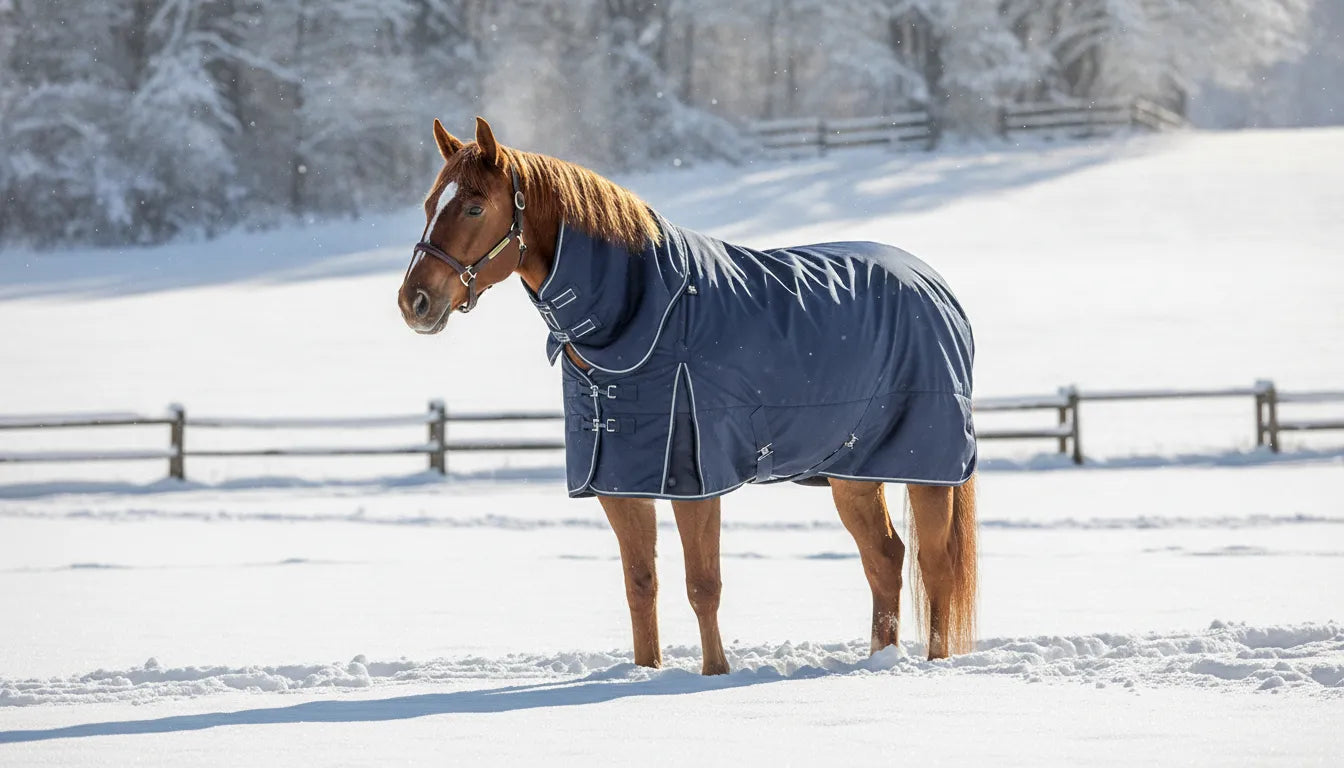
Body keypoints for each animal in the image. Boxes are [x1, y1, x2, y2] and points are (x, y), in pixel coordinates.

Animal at [398, 117, 978, 674]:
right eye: (429, 205)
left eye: (475, 206)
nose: (414, 301)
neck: (646, 315)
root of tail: (938, 288)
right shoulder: (619, 482)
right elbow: (640, 585)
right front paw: (646, 671)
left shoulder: (695, 482)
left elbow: (703, 585)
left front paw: (714, 674)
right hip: (854, 474)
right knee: (884, 558)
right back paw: (880, 659)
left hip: (928, 469)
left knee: (933, 564)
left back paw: (934, 664)